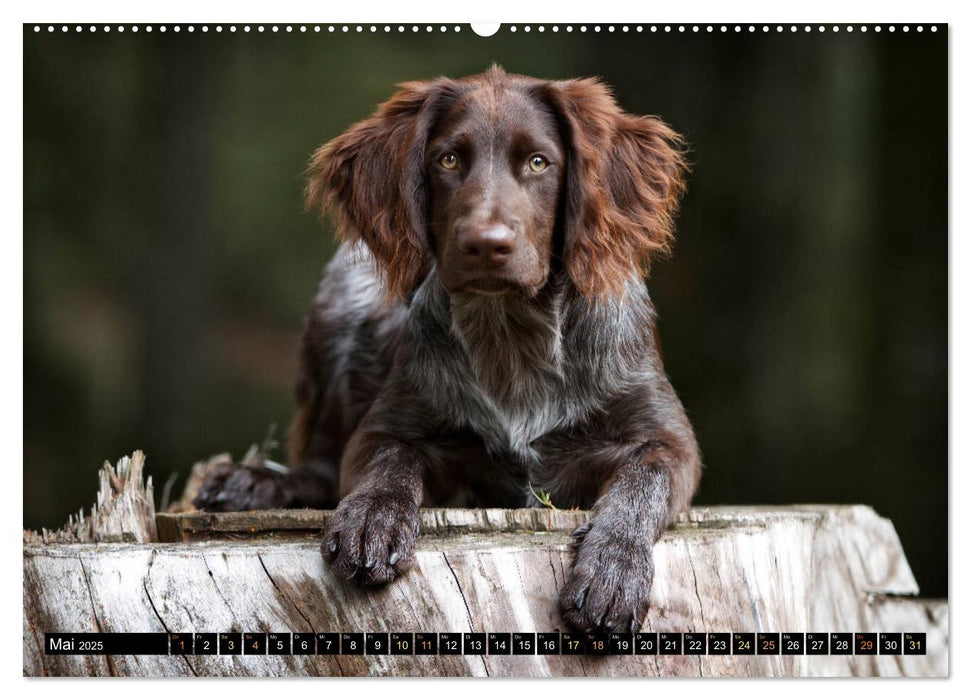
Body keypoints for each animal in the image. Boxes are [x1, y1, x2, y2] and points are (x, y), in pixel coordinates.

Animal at [196, 67, 700, 636]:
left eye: (539, 162)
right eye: (449, 160)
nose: (486, 244)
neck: (511, 333)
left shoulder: (670, 441)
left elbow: (642, 481)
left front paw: (614, 571)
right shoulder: (384, 427)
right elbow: (390, 460)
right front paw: (372, 519)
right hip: (344, 288)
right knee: (321, 464)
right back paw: (251, 482)